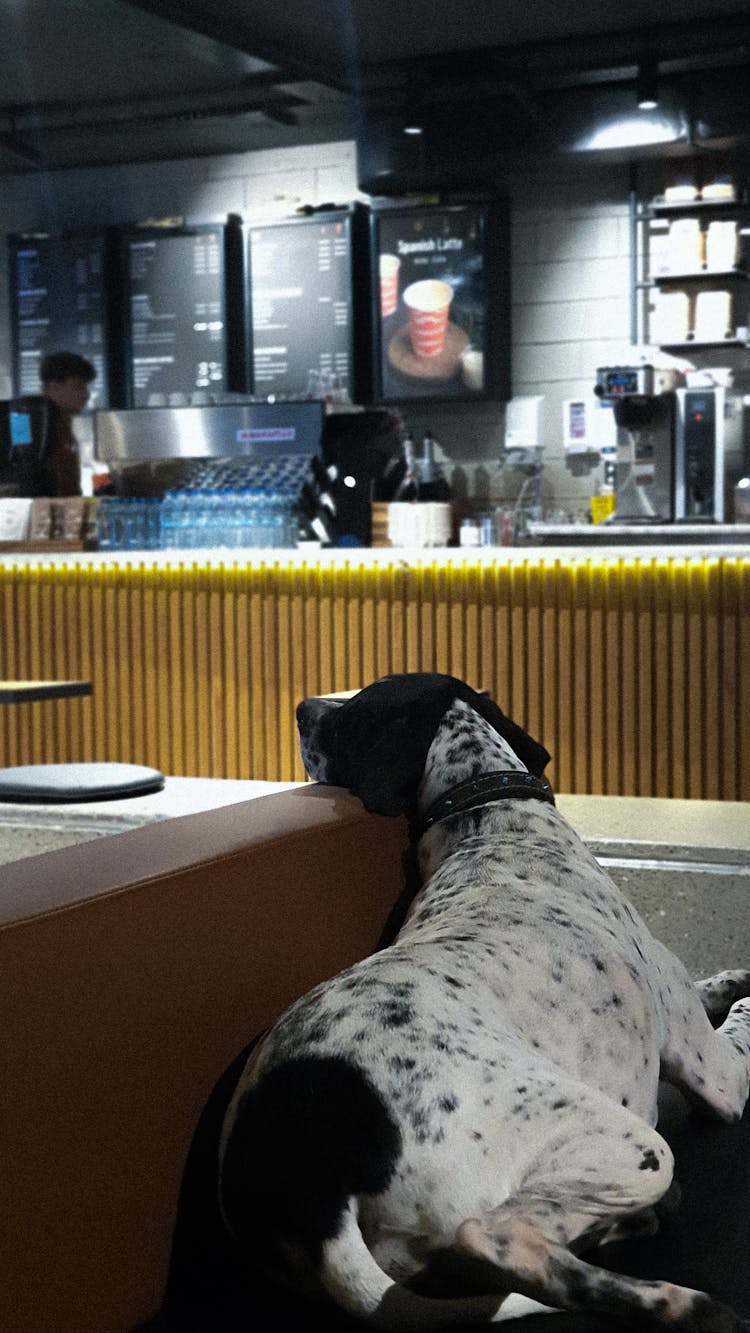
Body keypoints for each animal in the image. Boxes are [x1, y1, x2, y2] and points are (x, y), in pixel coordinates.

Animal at [218, 677, 750, 1333]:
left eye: (354, 708)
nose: (300, 707)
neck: (495, 826)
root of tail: (311, 1188)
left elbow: (712, 989)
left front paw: (727, 980)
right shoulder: (716, 1075)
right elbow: (743, 1027)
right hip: (629, 1145)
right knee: (496, 1238)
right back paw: (680, 1301)